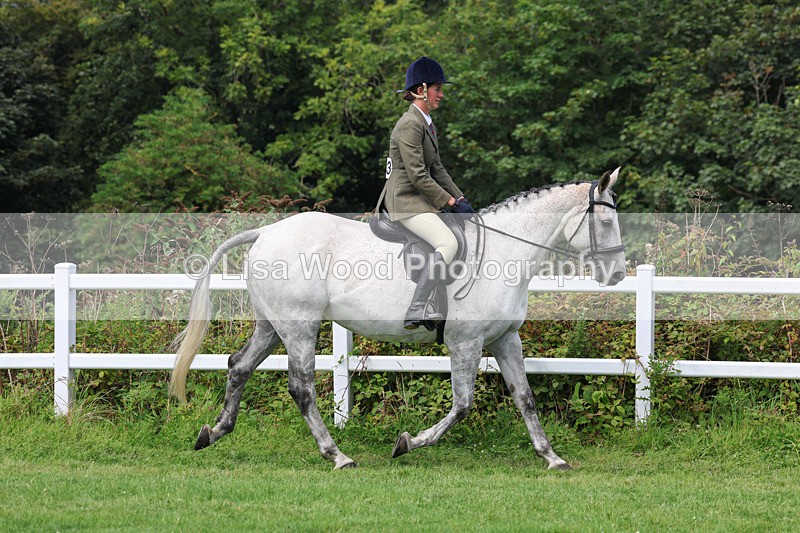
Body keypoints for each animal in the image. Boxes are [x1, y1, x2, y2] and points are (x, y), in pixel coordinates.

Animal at [170, 167, 626, 470]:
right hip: (299, 327)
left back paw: (214, 432)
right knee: (301, 388)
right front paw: (406, 442)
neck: (503, 252)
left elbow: (525, 398)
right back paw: (337, 456)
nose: (617, 276)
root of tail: (266, 232)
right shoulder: (465, 342)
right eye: (605, 221)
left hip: (273, 326)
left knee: (239, 366)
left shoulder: (503, 339)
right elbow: (463, 405)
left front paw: (551, 457)